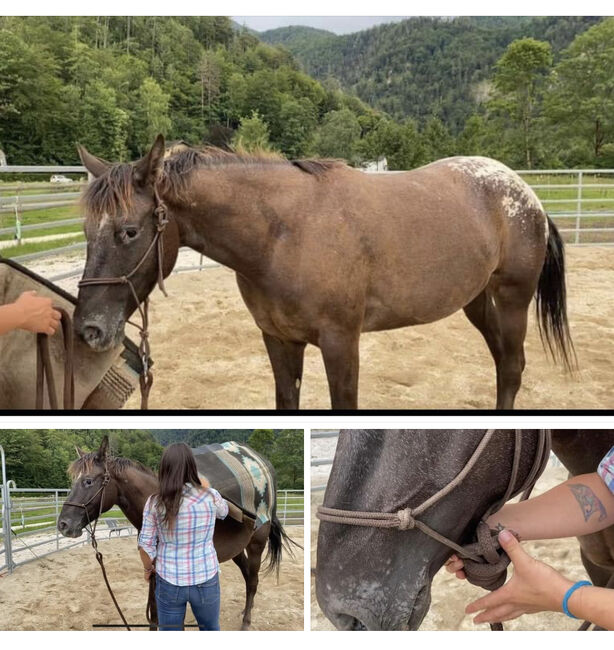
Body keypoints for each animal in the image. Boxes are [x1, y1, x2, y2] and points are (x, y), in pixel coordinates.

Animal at [57, 436, 296, 628]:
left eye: (88, 481)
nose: (63, 525)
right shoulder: (154, 569)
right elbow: (154, 614)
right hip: (237, 549)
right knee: (248, 577)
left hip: (256, 543)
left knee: (253, 580)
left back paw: (246, 621)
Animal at [74, 135, 576, 408]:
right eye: (86, 231)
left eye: (129, 231)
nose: (88, 331)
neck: (285, 234)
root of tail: (525, 193)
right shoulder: (279, 341)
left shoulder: (340, 343)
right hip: (476, 301)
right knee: (501, 361)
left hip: (513, 298)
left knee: (512, 367)